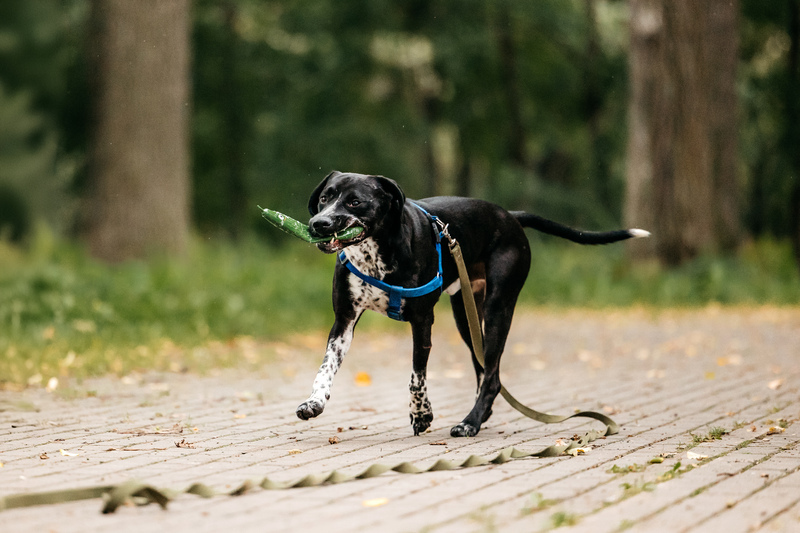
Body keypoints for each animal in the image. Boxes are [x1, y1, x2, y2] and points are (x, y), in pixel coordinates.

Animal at [296, 171, 648, 436]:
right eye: (325, 198)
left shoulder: (422, 322)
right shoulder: (343, 321)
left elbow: (416, 377)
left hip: (497, 309)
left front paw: (421, 414)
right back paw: (478, 417)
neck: (374, 254)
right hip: (466, 316)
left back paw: (470, 423)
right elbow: (325, 368)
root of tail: (510, 216)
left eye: (355, 201)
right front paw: (314, 402)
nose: (318, 224)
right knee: (484, 370)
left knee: (491, 376)